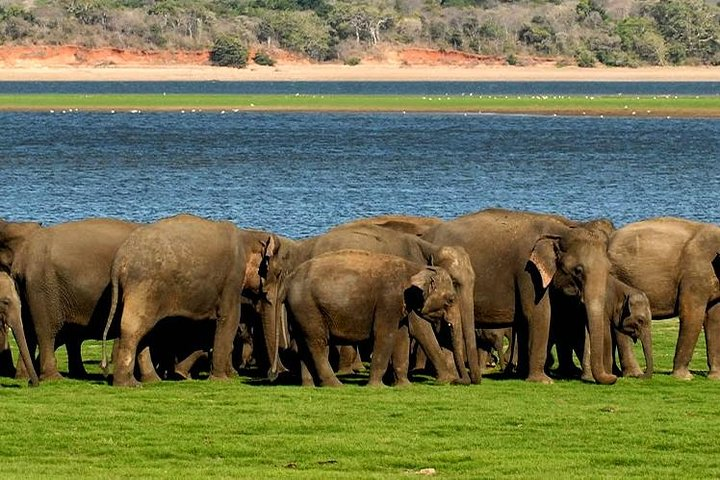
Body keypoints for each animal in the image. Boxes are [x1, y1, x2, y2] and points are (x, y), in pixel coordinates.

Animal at [0, 217, 139, 378]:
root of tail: (22, 261)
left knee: (30, 329)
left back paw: (25, 376)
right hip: (43, 286)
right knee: (46, 330)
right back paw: (53, 377)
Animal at [101, 214, 278, 386]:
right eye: (275, 273)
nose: (272, 375)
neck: (247, 234)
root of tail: (119, 260)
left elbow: (204, 327)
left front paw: (182, 374)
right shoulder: (232, 279)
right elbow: (230, 318)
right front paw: (222, 380)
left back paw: (149, 380)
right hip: (144, 287)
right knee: (133, 327)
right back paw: (128, 384)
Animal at [422, 208, 620, 384]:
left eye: (609, 269)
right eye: (578, 270)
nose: (613, 378)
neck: (562, 229)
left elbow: (529, 320)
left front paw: (522, 374)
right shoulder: (527, 272)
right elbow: (538, 314)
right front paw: (542, 381)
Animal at [608, 217, 720, 378]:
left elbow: (714, 318)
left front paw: (715, 377)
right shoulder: (695, 276)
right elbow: (691, 314)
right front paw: (684, 378)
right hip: (618, 275)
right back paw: (634, 373)